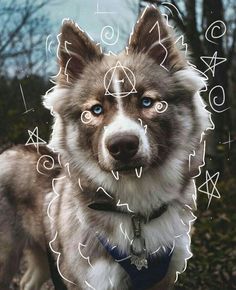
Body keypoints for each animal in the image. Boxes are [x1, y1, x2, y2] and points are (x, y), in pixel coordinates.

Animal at [0, 6, 210, 290]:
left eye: (147, 102)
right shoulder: (92, 279)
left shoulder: (165, 277)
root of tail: (9, 150)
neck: (135, 213)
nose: (122, 146)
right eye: (96, 110)